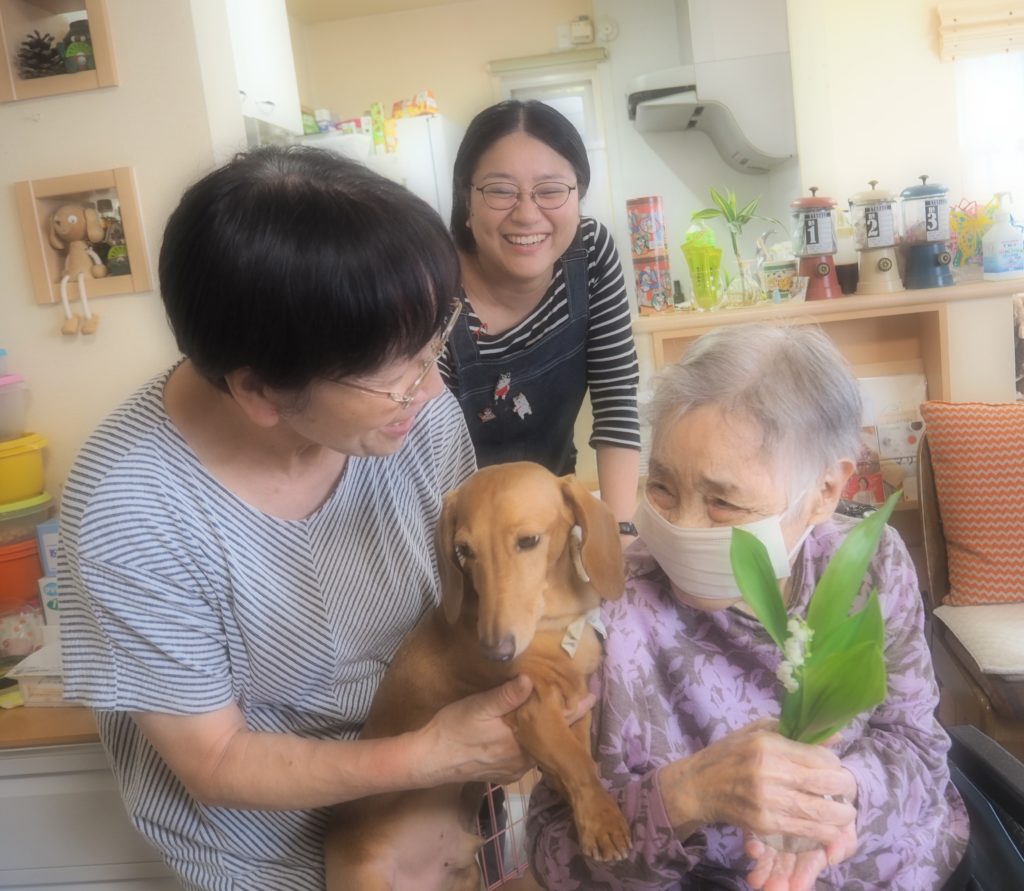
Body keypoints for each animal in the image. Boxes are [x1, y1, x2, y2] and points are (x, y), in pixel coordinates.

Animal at [326, 461, 631, 890]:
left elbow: (579, 756)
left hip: (465, 876)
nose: (496, 652)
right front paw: (602, 821)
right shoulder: (533, 711)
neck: (554, 625)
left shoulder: (578, 702)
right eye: (464, 551)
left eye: (529, 541)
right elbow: (577, 763)